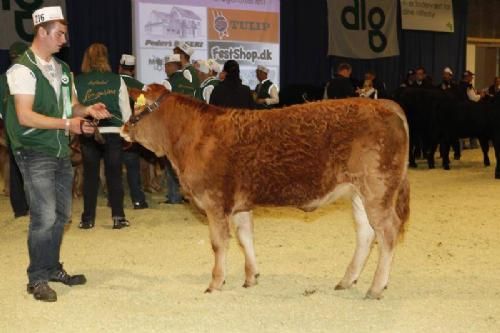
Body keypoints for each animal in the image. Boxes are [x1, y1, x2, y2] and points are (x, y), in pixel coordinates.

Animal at [122, 83, 410, 298]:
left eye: (137, 107)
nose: (123, 129)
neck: (193, 137)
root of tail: (384, 104)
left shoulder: (215, 203)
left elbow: (219, 244)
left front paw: (215, 283)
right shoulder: (240, 204)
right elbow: (245, 238)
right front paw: (251, 277)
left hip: (378, 189)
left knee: (387, 232)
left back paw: (375, 288)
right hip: (360, 192)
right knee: (366, 233)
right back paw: (347, 280)